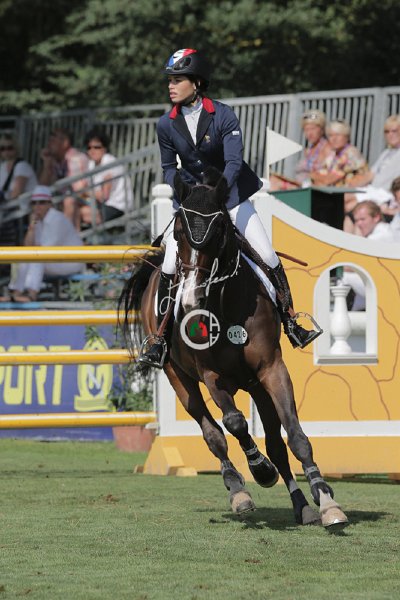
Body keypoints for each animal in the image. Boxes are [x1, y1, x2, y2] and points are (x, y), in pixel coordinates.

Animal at [119, 170, 348, 531]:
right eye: (180, 233)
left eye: (218, 233)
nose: (190, 300)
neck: (226, 305)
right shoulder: (212, 376)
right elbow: (235, 423)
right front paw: (260, 471)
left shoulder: (271, 370)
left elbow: (294, 434)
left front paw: (326, 500)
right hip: (178, 378)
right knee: (213, 434)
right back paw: (239, 490)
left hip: (256, 386)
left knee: (275, 443)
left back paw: (301, 506)